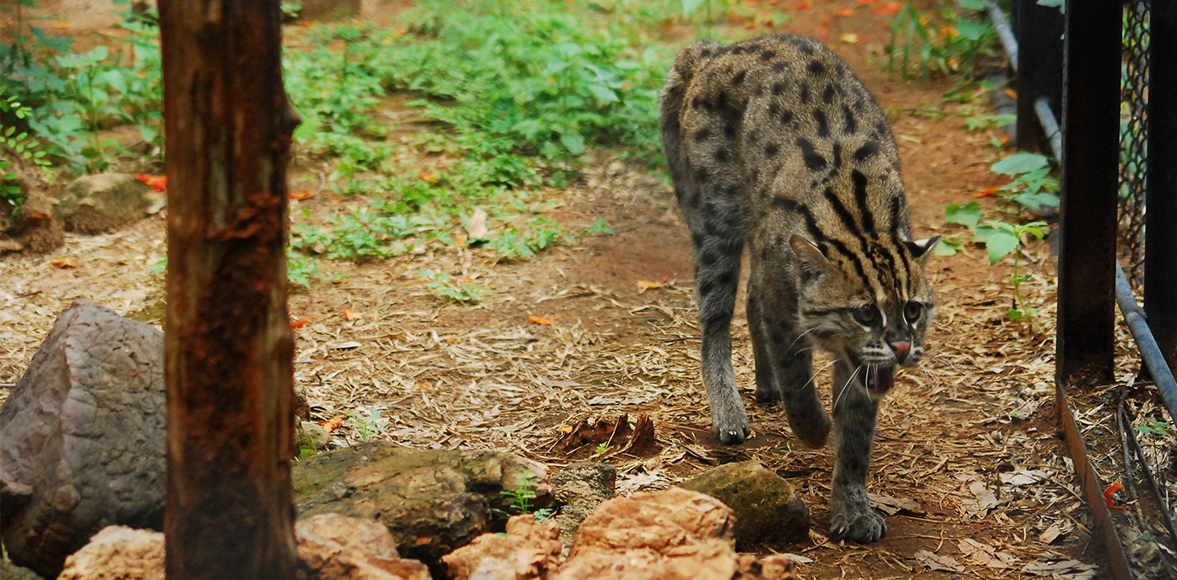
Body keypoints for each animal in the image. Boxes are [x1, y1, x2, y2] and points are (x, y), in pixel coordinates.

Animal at [663, 35, 936, 543]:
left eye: (913, 310)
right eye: (864, 312)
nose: (902, 348)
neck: (859, 222)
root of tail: (717, 49)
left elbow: (858, 431)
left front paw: (851, 506)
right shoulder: (783, 307)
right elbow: (799, 382)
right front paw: (814, 428)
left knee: (748, 294)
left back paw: (763, 382)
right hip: (716, 220)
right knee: (716, 319)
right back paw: (729, 410)